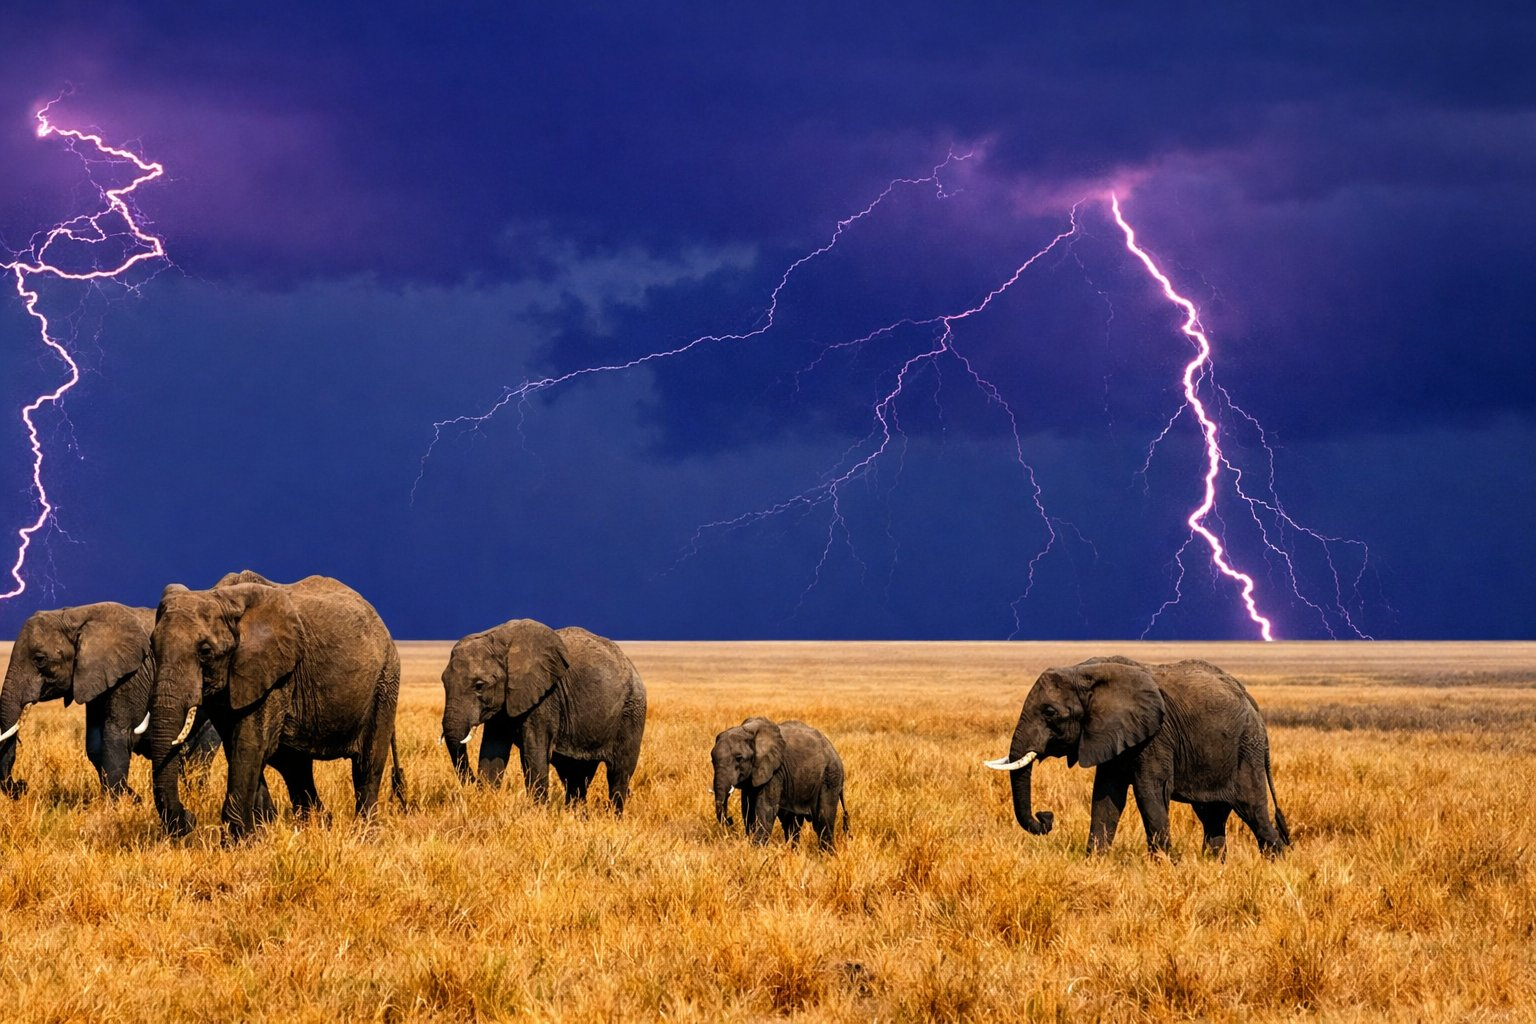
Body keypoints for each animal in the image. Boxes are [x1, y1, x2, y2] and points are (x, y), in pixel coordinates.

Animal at [1, 602, 218, 799]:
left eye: (39, 659)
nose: (22, 785)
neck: (75, 615)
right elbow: (95, 744)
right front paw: (132, 798)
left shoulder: (133, 674)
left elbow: (116, 735)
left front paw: (122, 805)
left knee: (198, 757)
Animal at [149, 570, 405, 839]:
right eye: (152, 647)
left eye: (205, 651)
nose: (189, 819)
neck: (224, 598)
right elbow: (238, 746)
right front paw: (257, 836)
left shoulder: (275, 674)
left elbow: (249, 744)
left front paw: (238, 841)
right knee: (295, 768)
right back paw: (318, 824)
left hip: (384, 682)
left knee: (367, 764)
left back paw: (366, 834)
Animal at [442, 619, 646, 813]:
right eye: (443, 682)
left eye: (479, 685)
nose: (472, 782)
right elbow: (492, 750)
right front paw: (485, 802)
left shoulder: (545, 698)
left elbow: (534, 753)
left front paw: (538, 813)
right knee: (575, 776)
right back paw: (575, 817)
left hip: (631, 711)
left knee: (619, 773)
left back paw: (614, 817)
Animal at [711, 717, 847, 850]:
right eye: (712, 759)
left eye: (739, 758)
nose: (730, 820)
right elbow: (748, 809)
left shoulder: (775, 771)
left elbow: (766, 808)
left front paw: (756, 850)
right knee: (792, 823)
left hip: (830, 777)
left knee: (823, 819)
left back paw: (826, 854)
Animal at [985, 656, 1290, 858]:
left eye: (1049, 712)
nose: (1046, 816)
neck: (1084, 672)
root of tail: (1253, 704)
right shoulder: (1108, 735)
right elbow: (1106, 796)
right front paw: (1095, 862)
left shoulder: (1156, 736)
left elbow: (1149, 792)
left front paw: (1166, 867)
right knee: (1212, 816)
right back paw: (1213, 866)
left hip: (1246, 751)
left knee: (1254, 812)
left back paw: (1275, 863)